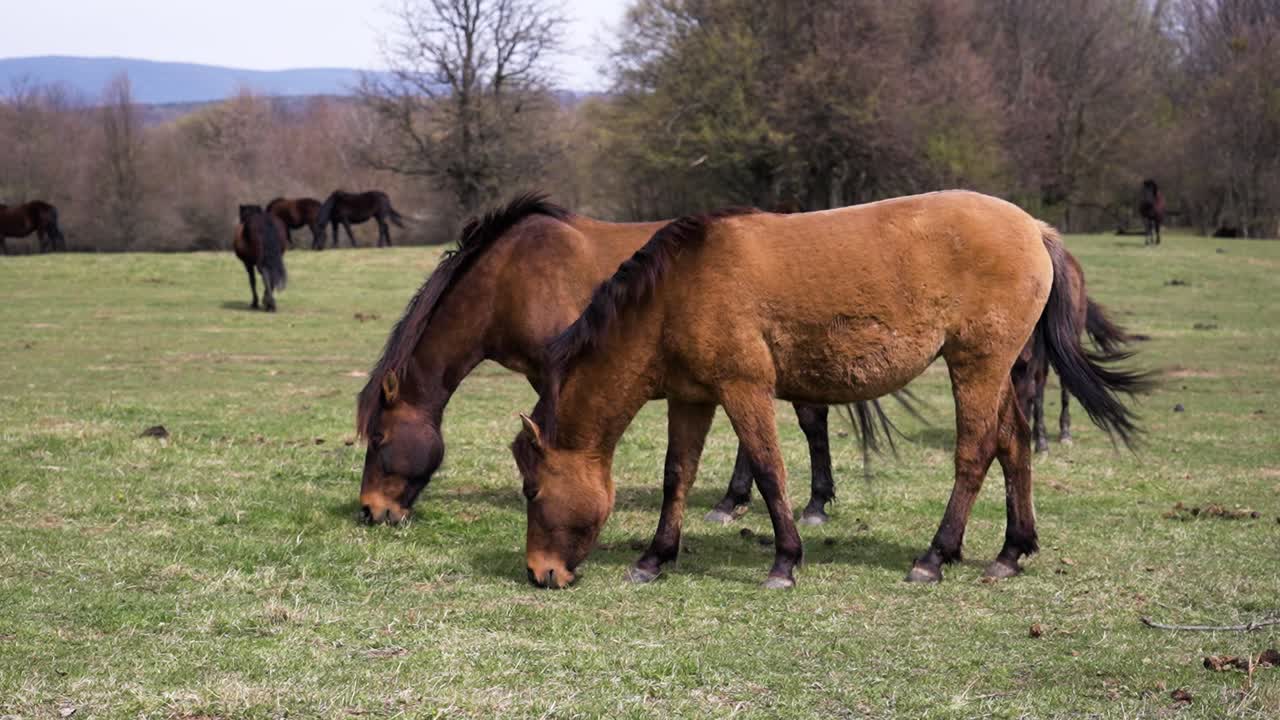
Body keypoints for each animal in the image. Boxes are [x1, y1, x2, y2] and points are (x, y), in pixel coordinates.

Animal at [355, 194, 907, 529]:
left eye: (379, 438)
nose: (371, 511)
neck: (510, 278)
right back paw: (735, 501)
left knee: (810, 421)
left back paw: (809, 504)